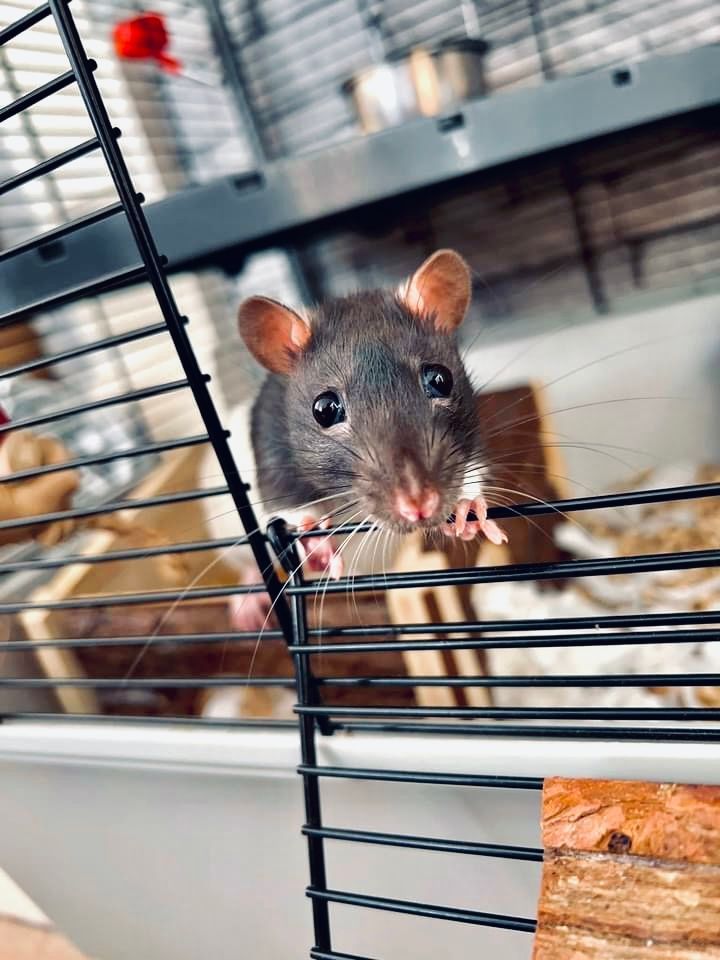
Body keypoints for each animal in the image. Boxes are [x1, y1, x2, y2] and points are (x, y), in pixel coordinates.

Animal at [201, 249, 506, 629]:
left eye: (441, 379)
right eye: (324, 409)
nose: (419, 504)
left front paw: (467, 504)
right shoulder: (270, 446)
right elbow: (281, 502)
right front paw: (314, 538)